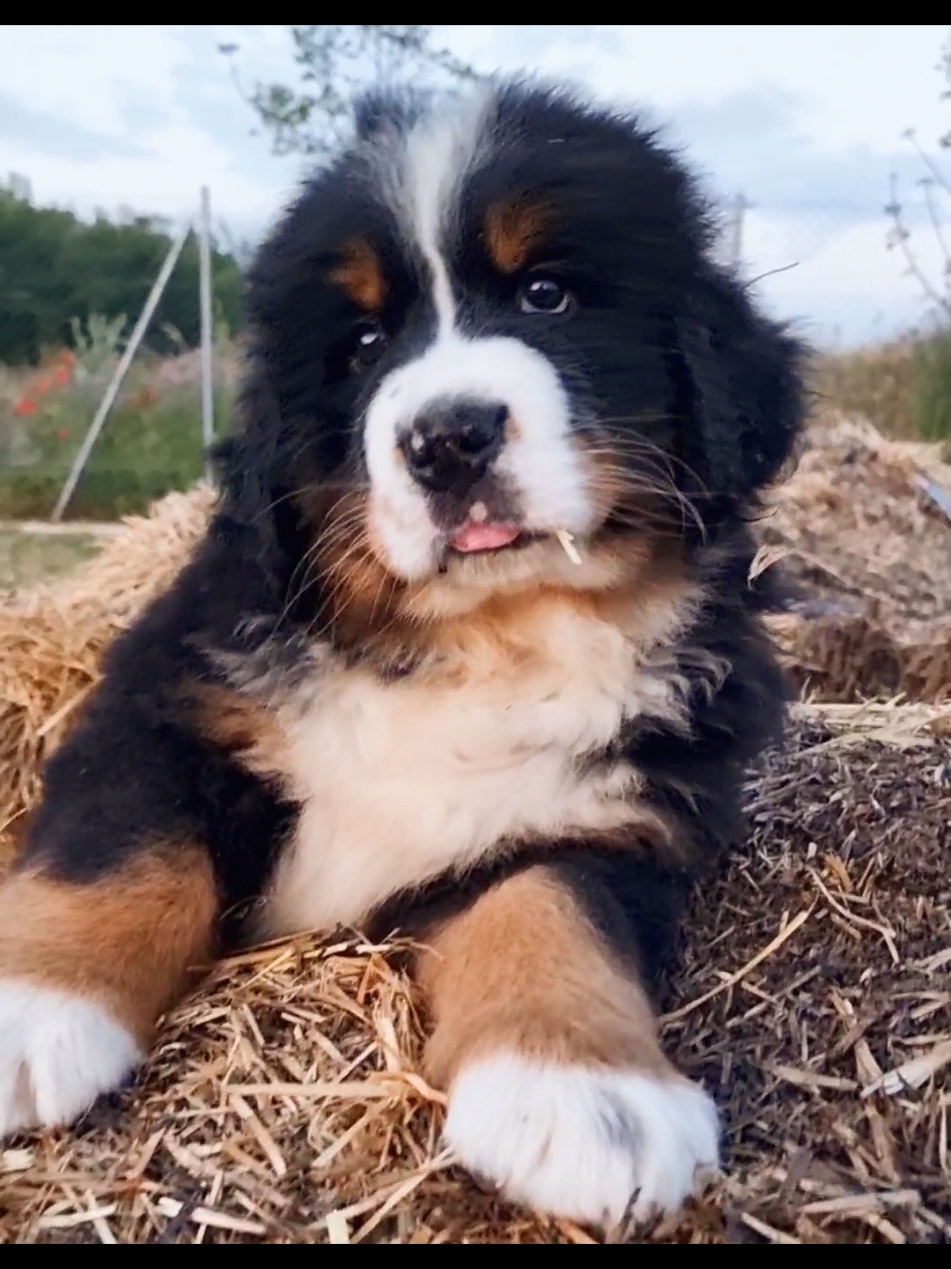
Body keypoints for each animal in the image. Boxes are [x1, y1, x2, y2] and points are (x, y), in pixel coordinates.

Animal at [0, 79, 802, 1228]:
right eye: (367, 342)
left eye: (547, 295)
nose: (447, 437)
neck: (472, 635)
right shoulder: (172, 693)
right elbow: (120, 849)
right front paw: (31, 1008)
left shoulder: (612, 809)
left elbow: (549, 907)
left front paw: (586, 1096)